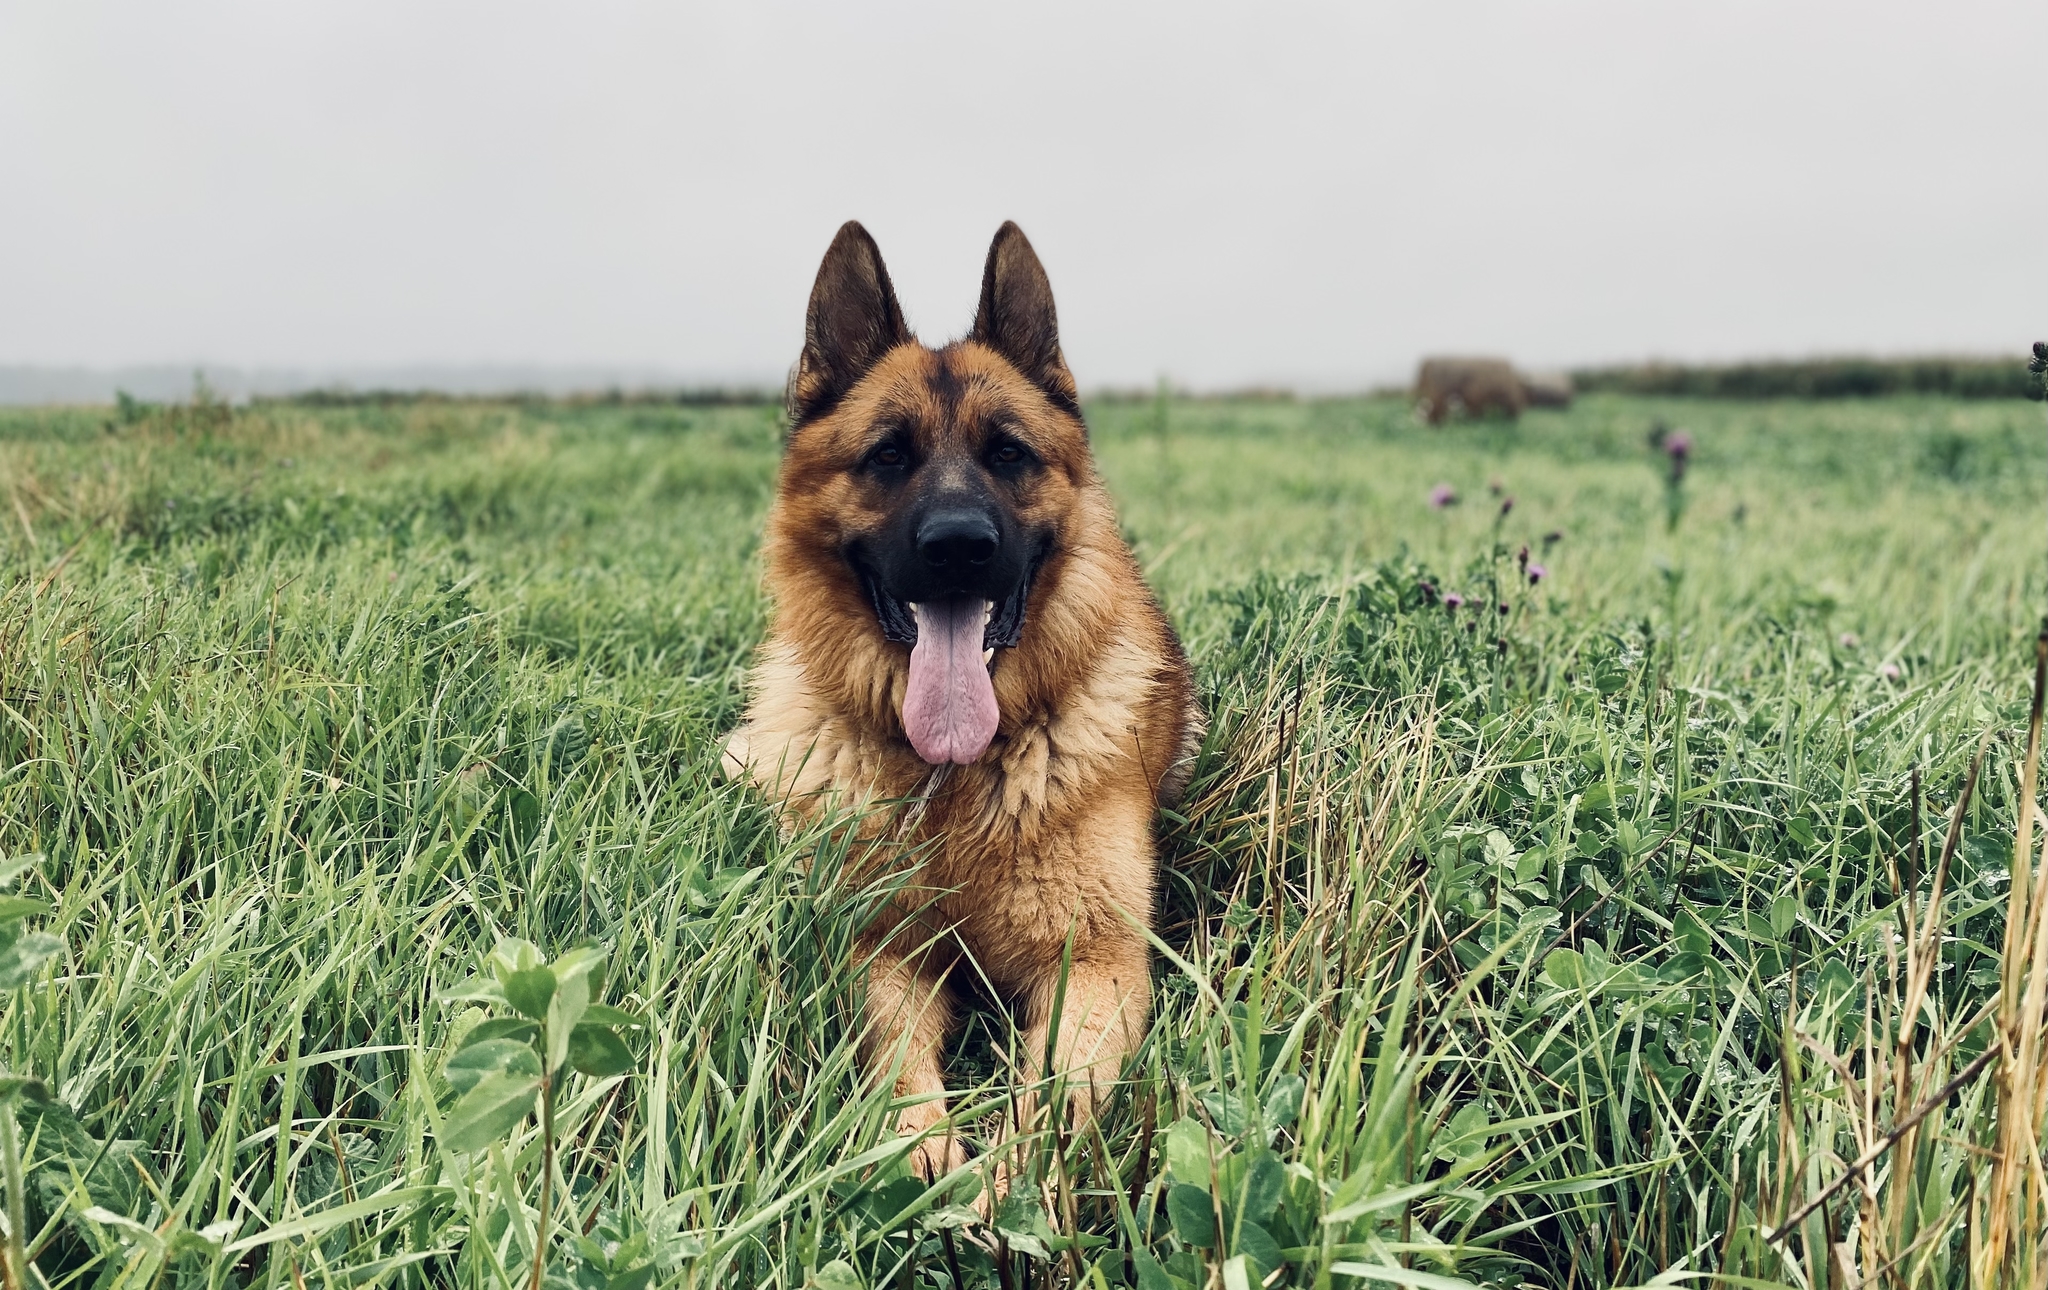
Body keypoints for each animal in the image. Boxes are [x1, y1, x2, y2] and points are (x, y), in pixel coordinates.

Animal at [720, 220, 1196, 1179]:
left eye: (1008, 453)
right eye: (887, 456)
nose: (957, 547)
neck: (956, 778)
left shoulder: (1100, 963)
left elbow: (1053, 1096)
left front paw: (1008, 1185)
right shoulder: (878, 951)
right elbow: (899, 1068)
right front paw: (930, 1162)